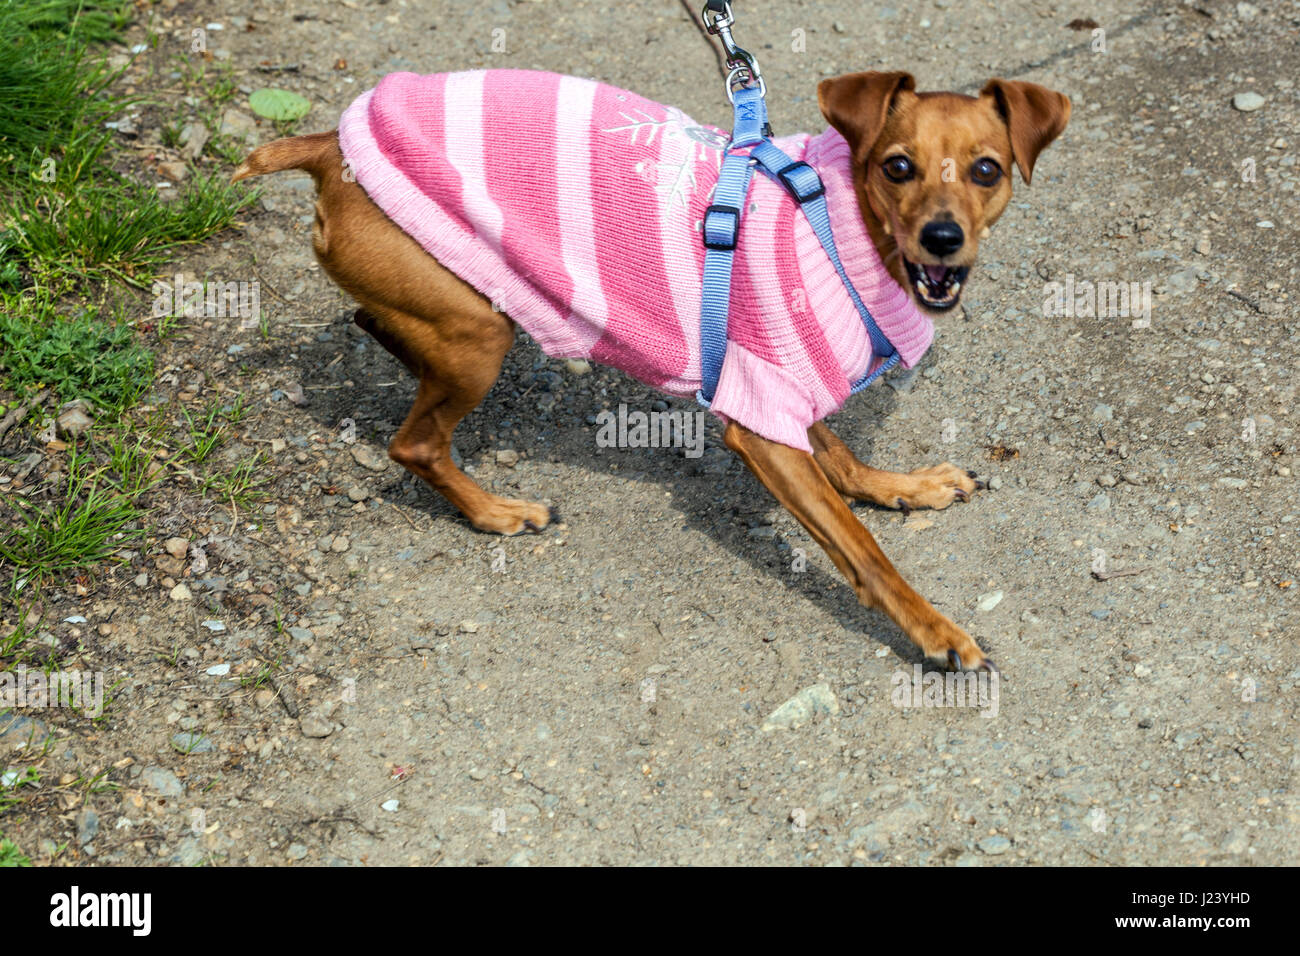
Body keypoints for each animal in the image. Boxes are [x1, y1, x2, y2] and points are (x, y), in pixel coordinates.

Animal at [233, 69, 1066, 671]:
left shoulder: (776, 389)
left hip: (452, 307)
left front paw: (901, 487)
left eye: (986, 170)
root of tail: (328, 146)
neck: (838, 226)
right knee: (413, 442)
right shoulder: (762, 422)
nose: (943, 238)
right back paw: (495, 511)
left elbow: (839, 455)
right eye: (897, 167)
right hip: (477, 335)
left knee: (376, 325)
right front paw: (932, 629)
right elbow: (863, 551)